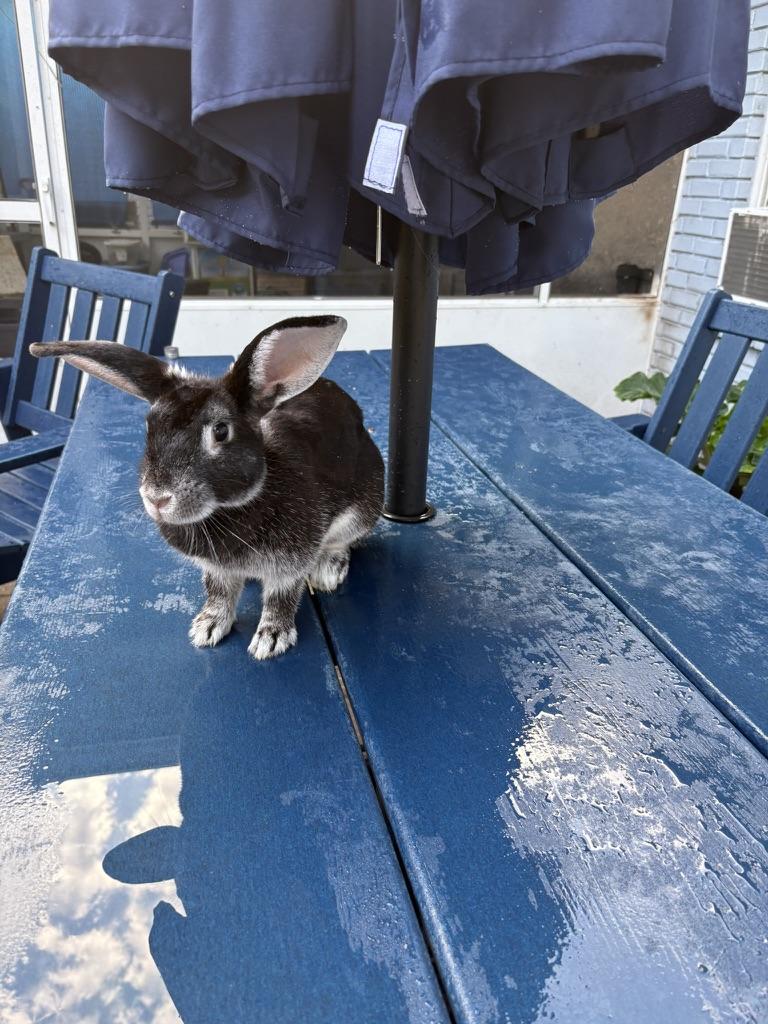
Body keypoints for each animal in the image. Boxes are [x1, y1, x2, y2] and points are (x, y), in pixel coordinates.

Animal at [30, 315, 384, 660]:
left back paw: (328, 571)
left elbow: (280, 599)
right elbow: (219, 593)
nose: (157, 499)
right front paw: (207, 627)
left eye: (220, 431)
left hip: (362, 510)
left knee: (342, 542)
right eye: (149, 426)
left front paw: (271, 639)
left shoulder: (290, 565)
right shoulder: (216, 570)